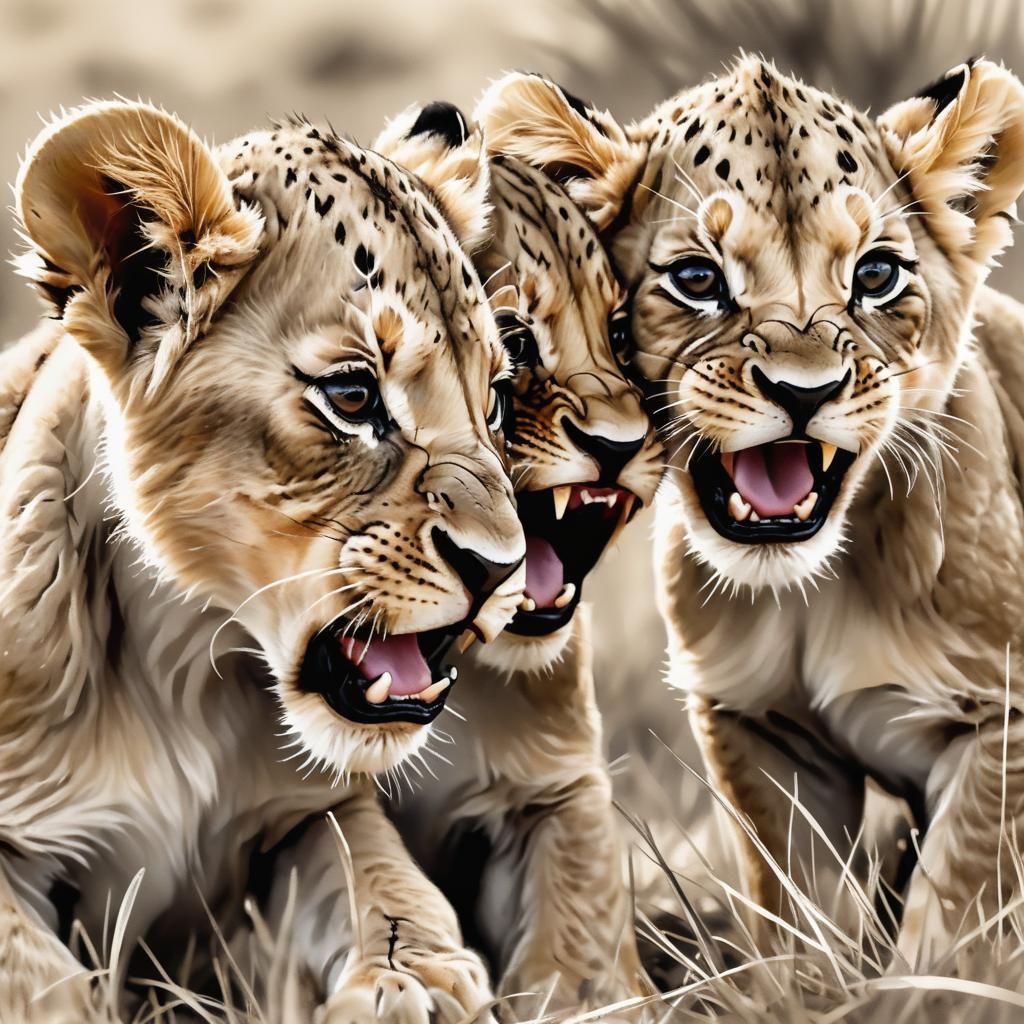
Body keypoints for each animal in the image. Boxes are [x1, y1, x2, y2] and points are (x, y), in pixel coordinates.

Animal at [0, 99, 528, 1022]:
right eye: (352, 395)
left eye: (494, 397)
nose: (503, 568)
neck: (179, 659)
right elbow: (30, 969)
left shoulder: (309, 812)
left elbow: (384, 881)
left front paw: (416, 982)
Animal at [475, 56, 1024, 965]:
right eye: (698, 280)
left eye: (876, 276)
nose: (803, 393)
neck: (815, 591)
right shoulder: (758, 726)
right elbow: (796, 898)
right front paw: (813, 979)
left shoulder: (1000, 721)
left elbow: (958, 903)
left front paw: (919, 985)